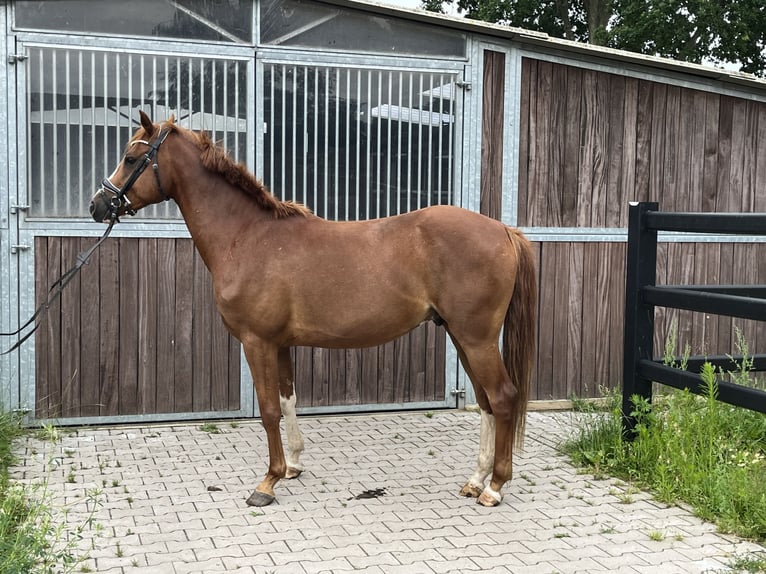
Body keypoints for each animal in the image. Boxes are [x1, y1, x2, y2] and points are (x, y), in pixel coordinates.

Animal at [89, 111, 537, 508]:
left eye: (131, 158)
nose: (98, 206)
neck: (247, 236)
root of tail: (504, 230)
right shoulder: (280, 344)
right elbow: (288, 400)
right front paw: (292, 466)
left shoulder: (256, 342)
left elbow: (268, 409)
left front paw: (267, 483)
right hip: (461, 336)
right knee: (485, 401)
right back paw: (475, 481)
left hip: (476, 338)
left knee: (502, 397)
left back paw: (495, 488)